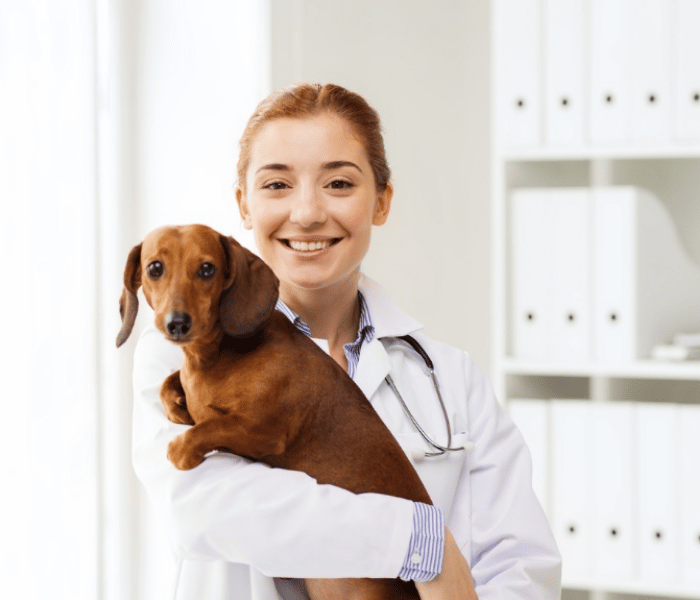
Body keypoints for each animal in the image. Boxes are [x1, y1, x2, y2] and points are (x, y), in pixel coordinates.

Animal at [117, 224, 434, 600]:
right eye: (155, 268)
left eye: (207, 269)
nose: (177, 324)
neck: (218, 355)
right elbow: (170, 385)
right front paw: (178, 405)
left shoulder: (264, 432)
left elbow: (204, 430)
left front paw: (185, 445)